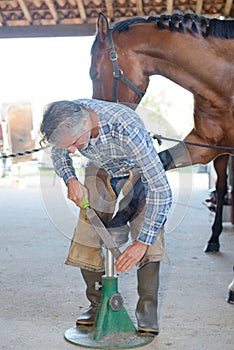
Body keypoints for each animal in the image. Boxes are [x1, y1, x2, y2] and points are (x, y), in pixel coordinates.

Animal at [89, 11, 234, 252]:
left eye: (94, 73)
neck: (225, 81)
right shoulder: (204, 146)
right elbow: (156, 167)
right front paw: (120, 218)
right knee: (221, 186)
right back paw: (214, 239)